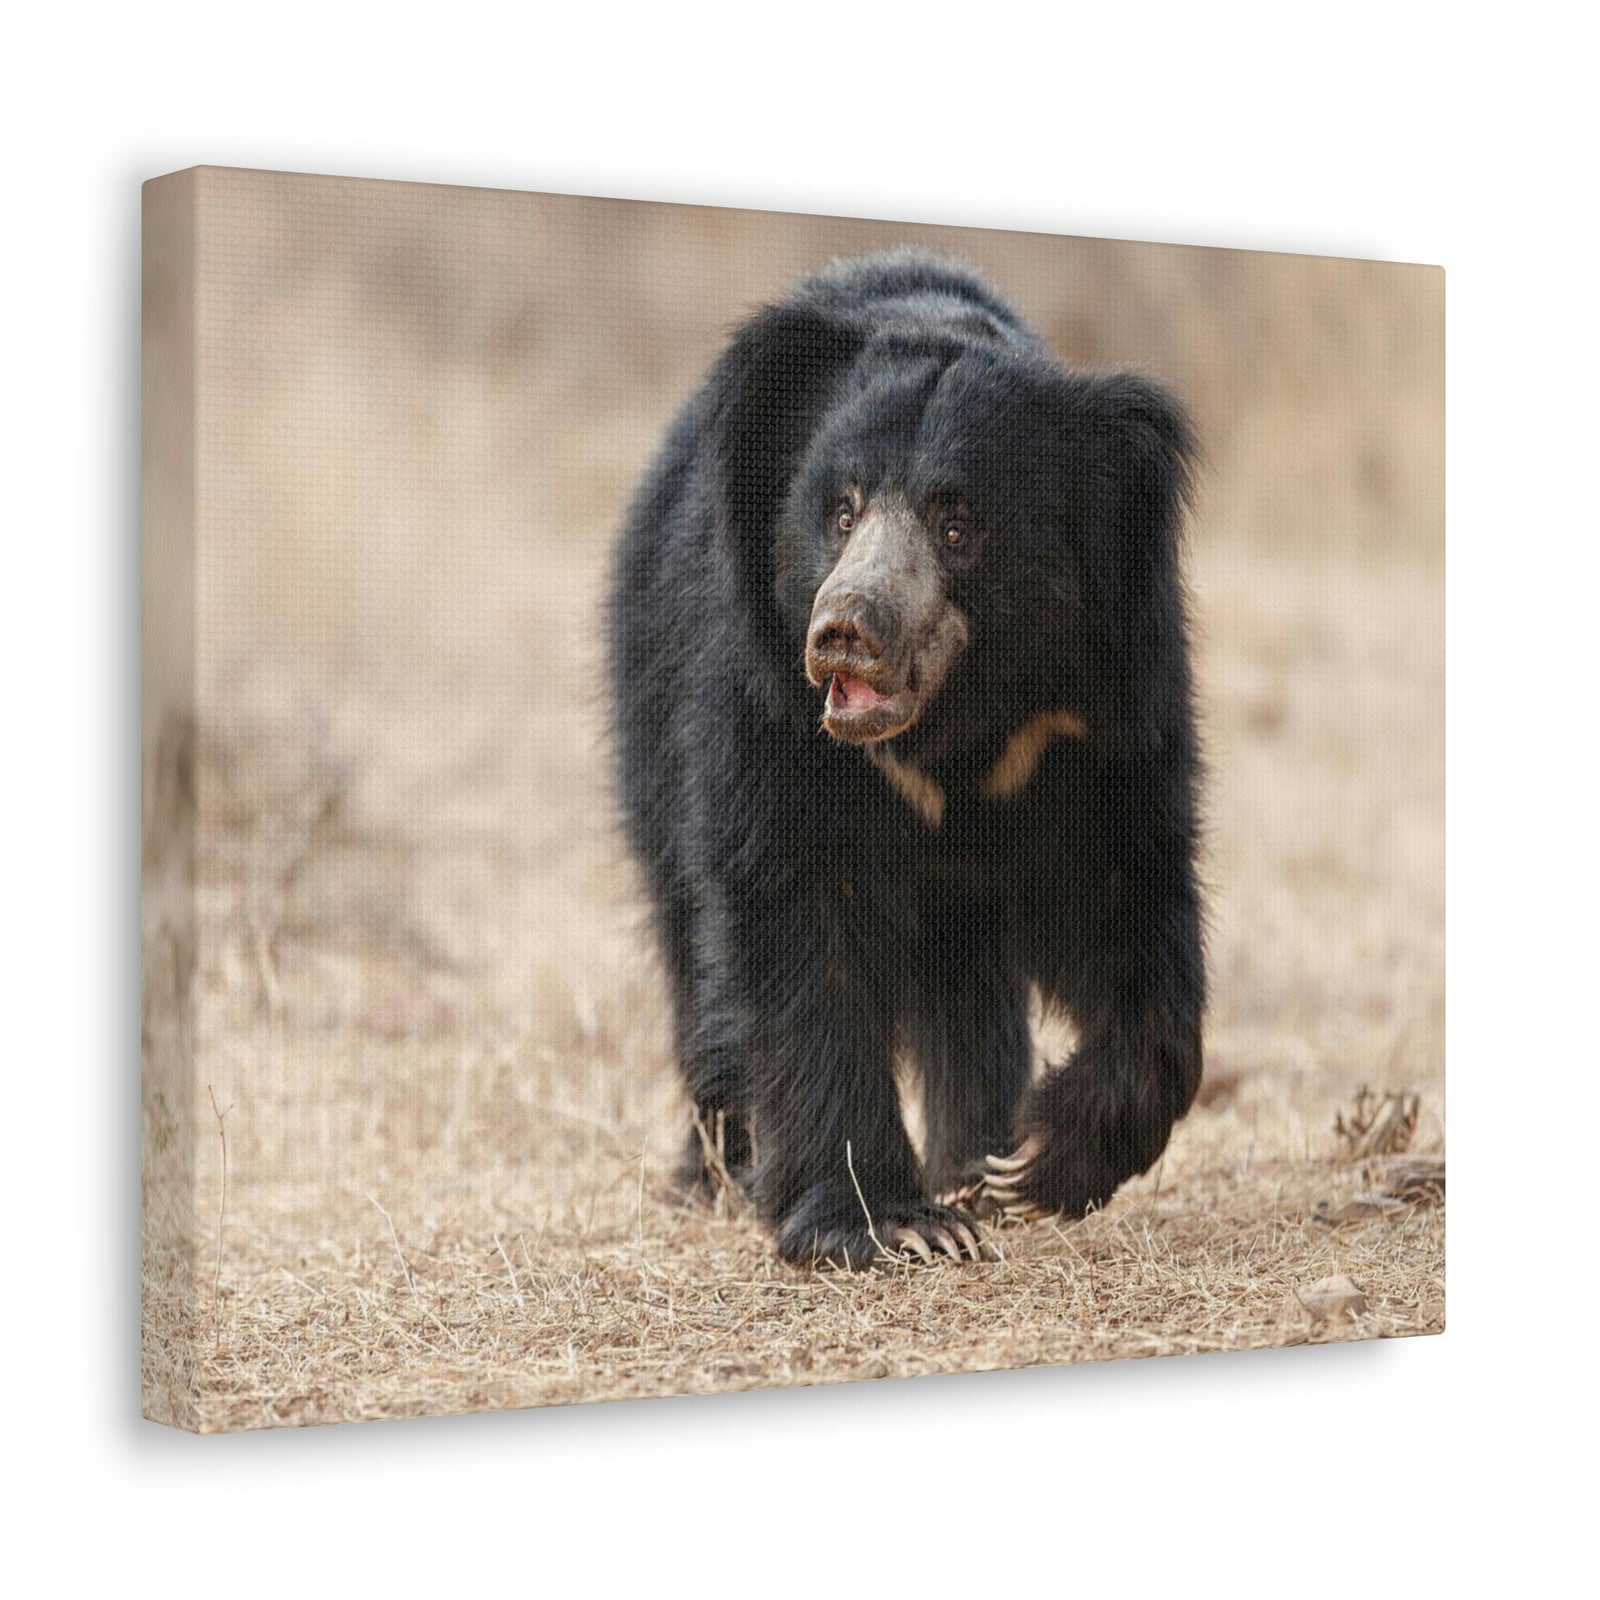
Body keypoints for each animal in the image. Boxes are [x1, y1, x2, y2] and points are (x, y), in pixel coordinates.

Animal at [606, 250, 1204, 1269]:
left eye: (957, 525)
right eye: (840, 511)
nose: (846, 632)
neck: (953, 726)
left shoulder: (1095, 710)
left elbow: (1129, 890)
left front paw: (1034, 1159)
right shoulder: (765, 705)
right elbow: (797, 920)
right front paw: (892, 1222)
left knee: (971, 990)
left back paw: (975, 1157)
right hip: (647, 715)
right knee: (691, 941)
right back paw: (718, 1171)